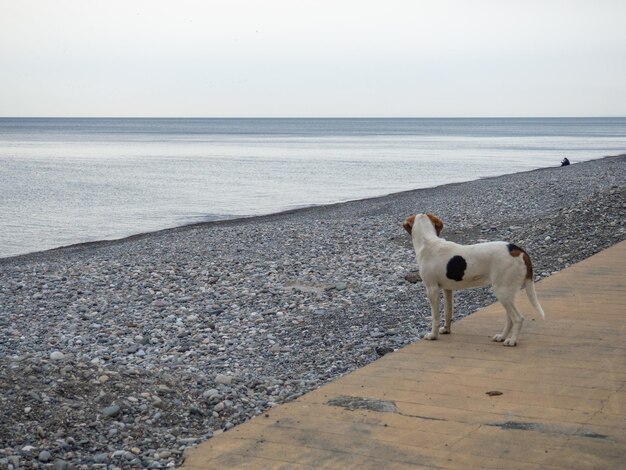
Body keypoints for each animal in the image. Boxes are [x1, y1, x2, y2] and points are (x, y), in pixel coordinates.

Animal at [402, 213, 544, 346]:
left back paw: (512, 341)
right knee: (510, 318)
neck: (427, 241)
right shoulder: (448, 289)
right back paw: (502, 337)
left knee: (518, 318)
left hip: (502, 292)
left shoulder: (432, 290)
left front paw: (433, 335)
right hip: (508, 293)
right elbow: (448, 312)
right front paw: (446, 330)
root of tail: (517, 249)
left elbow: (435, 317)